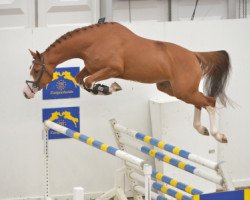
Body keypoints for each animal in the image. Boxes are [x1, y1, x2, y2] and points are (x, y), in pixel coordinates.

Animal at [23, 21, 230, 143]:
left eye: (35, 71)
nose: (26, 93)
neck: (93, 41)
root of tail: (194, 55)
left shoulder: (112, 69)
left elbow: (88, 82)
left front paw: (110, 88)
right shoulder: (90, 68)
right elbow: (80, 80)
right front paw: (107, 88)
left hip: (183, 90)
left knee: (210, 101)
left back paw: (218, 135)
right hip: (172, 89)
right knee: (200, 102)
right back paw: (201, 129)